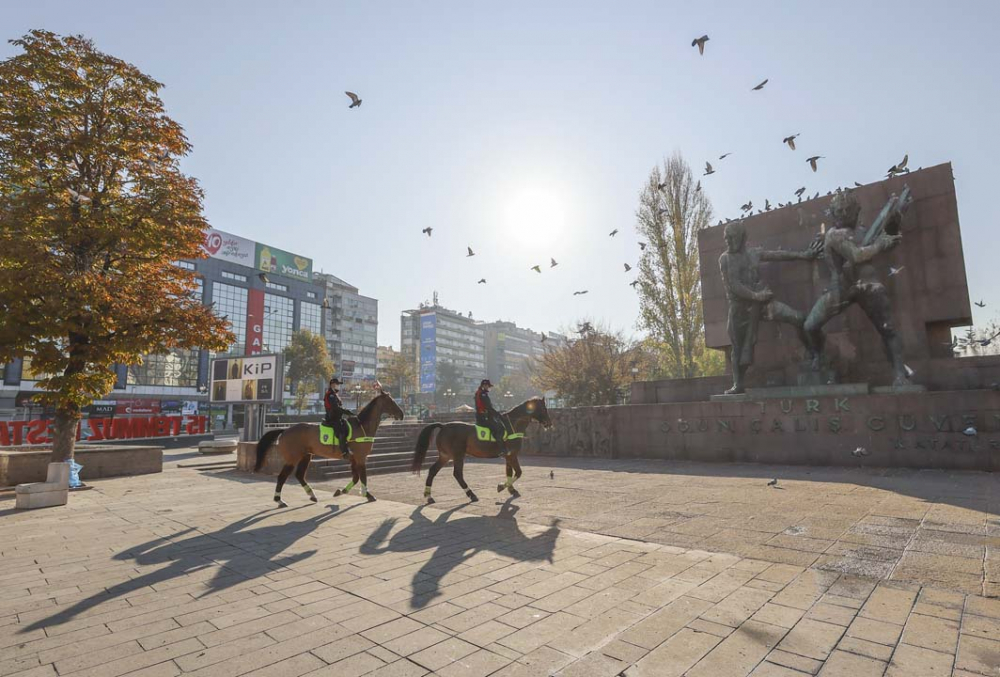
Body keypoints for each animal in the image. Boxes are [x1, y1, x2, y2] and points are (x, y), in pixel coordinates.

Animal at [254, 388, 402, 504]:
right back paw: (279, 500)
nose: (401, 414)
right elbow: (363, 477)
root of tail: (285, 431)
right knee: (282, 477)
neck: (362, 426)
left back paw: (312, 495)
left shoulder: (354, 459)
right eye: (391, 401)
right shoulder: (360, 458)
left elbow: (356, 478)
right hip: (292, 459)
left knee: (300, 475)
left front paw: (341, 491)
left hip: (306, 456)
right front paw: (368, 495)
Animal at [412, 396, 556, 502]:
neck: (512, 425)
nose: (549, 423)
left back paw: (429, 496)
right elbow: (519, 472)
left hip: (445, 456)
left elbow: (509, 473)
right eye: (544, 408)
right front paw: (501, 486)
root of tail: (443, 426)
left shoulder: (509, 455)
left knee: (432, 470)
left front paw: (511, 489)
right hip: (458, 455)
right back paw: (471, 494)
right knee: (457, 474)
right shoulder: (511, 455)